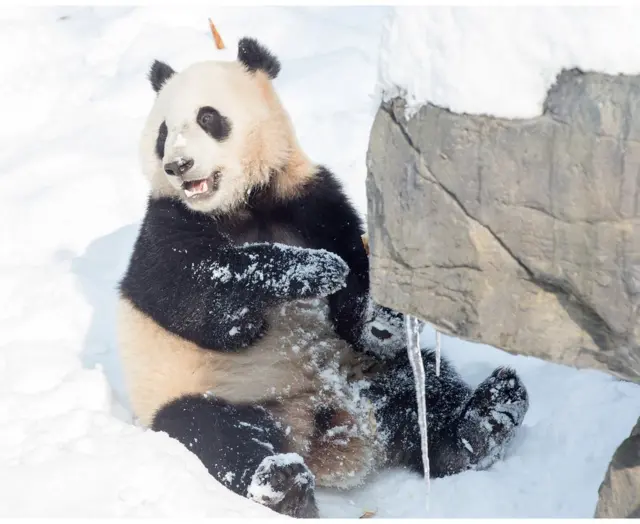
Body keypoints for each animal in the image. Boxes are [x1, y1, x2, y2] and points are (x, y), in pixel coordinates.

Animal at [117, 37, 530, 518]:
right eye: (163, 132)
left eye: (208, 118)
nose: (178, 165)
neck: (243, 203)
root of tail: (320, 431)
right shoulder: (167, 225)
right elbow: (200, 301)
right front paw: (314, 268)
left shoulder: (312, 198)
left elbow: (355, 289)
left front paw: (382, 316)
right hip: (205, 392)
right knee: (214, 434)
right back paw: (282, 485)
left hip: (371, 374)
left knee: (425, 387)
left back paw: (485, 420)